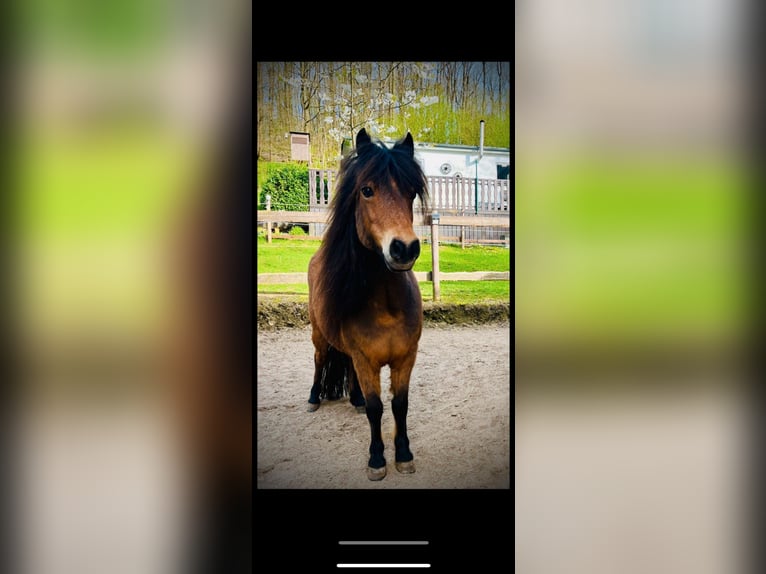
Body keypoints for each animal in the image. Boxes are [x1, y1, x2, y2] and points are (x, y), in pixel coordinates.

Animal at [307, 128, 429, 481]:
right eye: (367, 190)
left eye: (411, 192)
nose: (404, 248)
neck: (387, 307)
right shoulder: (366, 361)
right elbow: (377, 409)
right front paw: (377, 459)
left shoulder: (405, 358)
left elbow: (399, 405)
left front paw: (404, 454)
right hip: (319, 336)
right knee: (319, 360)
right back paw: (314, 397)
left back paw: (355, 398)